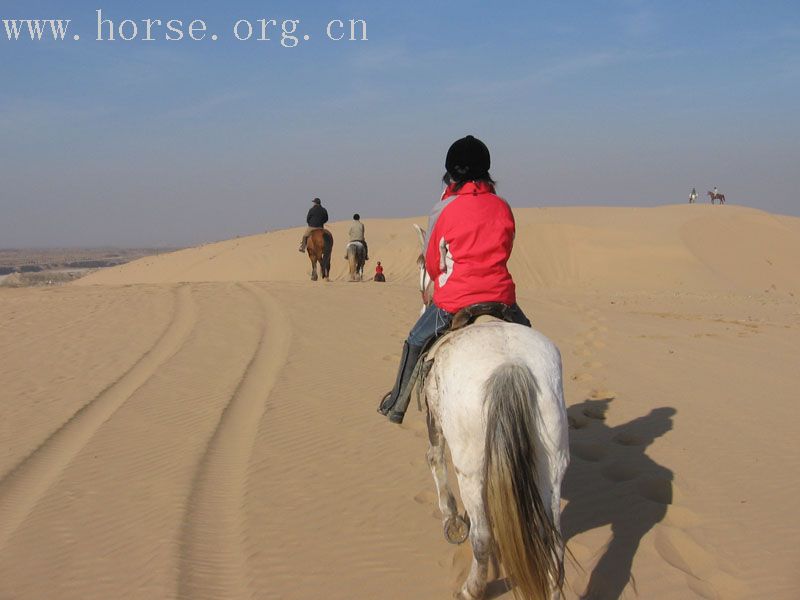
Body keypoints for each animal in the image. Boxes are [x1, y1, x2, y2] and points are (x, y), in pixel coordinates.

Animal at [412, 225, 568, 600]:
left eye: (422, 263)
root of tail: (510, 366)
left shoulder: (435, 422)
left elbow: (434, 459)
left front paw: (453, 520)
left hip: (471, 466)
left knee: (482, 538)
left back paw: (472, 588)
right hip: (551, 459)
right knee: (554, 540)